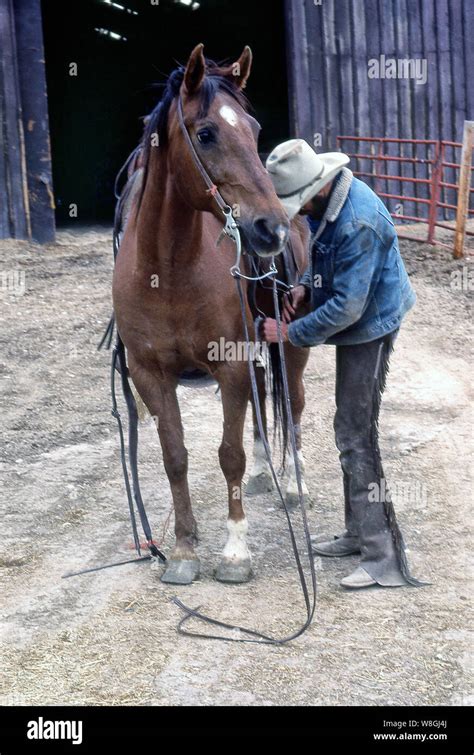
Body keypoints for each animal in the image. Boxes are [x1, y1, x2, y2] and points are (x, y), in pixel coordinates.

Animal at [113, 44, 310, 588]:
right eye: (206, 133)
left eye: (256, 129)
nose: (270, 228)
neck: (166, 270)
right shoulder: (150, 375)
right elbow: (175, 457)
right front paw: (183, 548)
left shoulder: (230, 364)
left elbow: (229, 455)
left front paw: (236, 551)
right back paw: (267, 472)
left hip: (293, 344)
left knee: (295, 404)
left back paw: (294, 484)